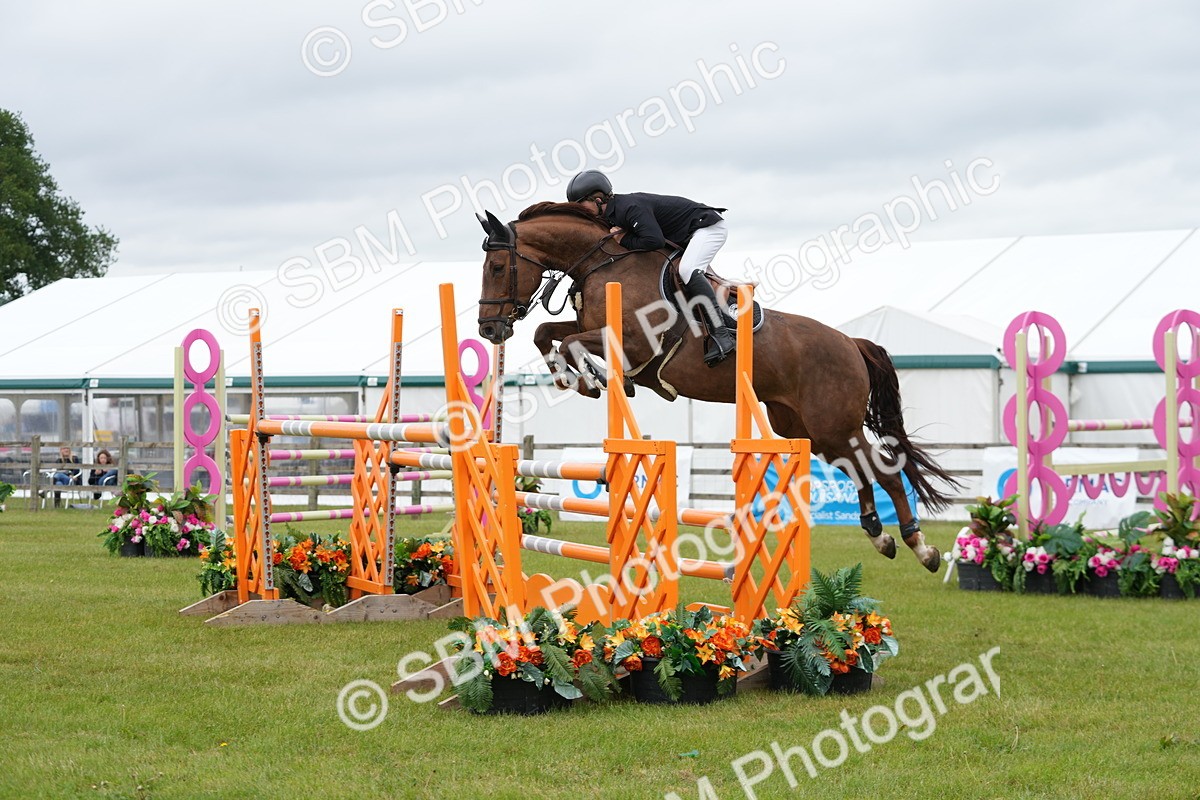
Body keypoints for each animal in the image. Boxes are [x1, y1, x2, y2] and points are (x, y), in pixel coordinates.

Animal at [474, 201, 959, 572]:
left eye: (497, 266)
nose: (488, 330)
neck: (603, 261)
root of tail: (851, 343)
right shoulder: (594, 329)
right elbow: (549, 333)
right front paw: (576, 378)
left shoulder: (634, 342)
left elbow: (573, 341)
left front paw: (592, 379)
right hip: (805, 429)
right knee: (858, 467)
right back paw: (880, 535)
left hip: (833, 423)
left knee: (884, 470)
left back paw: (920, 547)